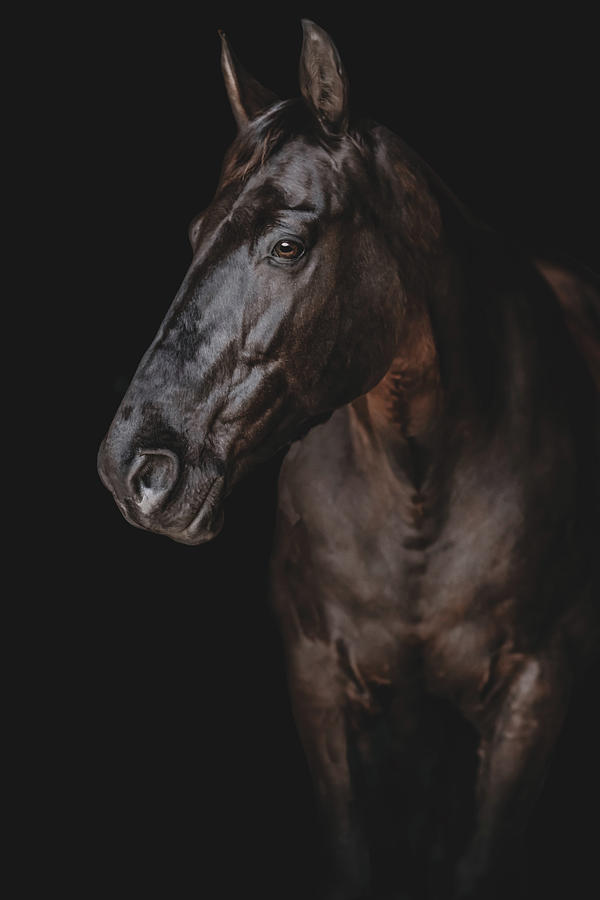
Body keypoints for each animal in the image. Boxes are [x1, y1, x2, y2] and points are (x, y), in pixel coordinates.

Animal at [98, 21, 600, 900]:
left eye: (288, 244)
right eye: (195, 235)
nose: (136, 470)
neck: (419, 490)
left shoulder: (536, 694)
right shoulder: (322, 688)